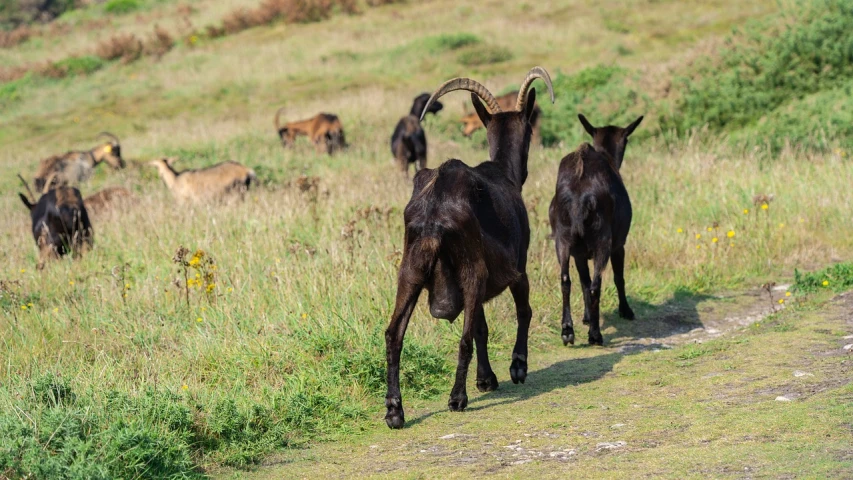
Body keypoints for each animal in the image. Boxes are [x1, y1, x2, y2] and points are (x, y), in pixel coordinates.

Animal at [382, 66, 556, 428]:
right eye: (530, 130)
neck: (502, 173)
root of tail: (434, 212)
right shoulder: (518, 267)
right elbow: (521, 311)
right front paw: (517, 367)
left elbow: (481, 326)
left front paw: (486, 378)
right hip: (470, 267)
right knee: (462, 337)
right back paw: (457, 398)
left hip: (411, 268)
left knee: (394, 333)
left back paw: (394, 410)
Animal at [548, 113, 644, 344]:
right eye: (626, 140)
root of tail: (578, 197)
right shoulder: (619, 244)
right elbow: (618, 277)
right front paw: (625, 310)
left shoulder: (579, 253)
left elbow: (583, 281)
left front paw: (586, 316)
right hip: (603, 240)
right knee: (595, 286)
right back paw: (595, 334)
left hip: (562, 238)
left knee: (566, 279)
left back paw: (567, 330)